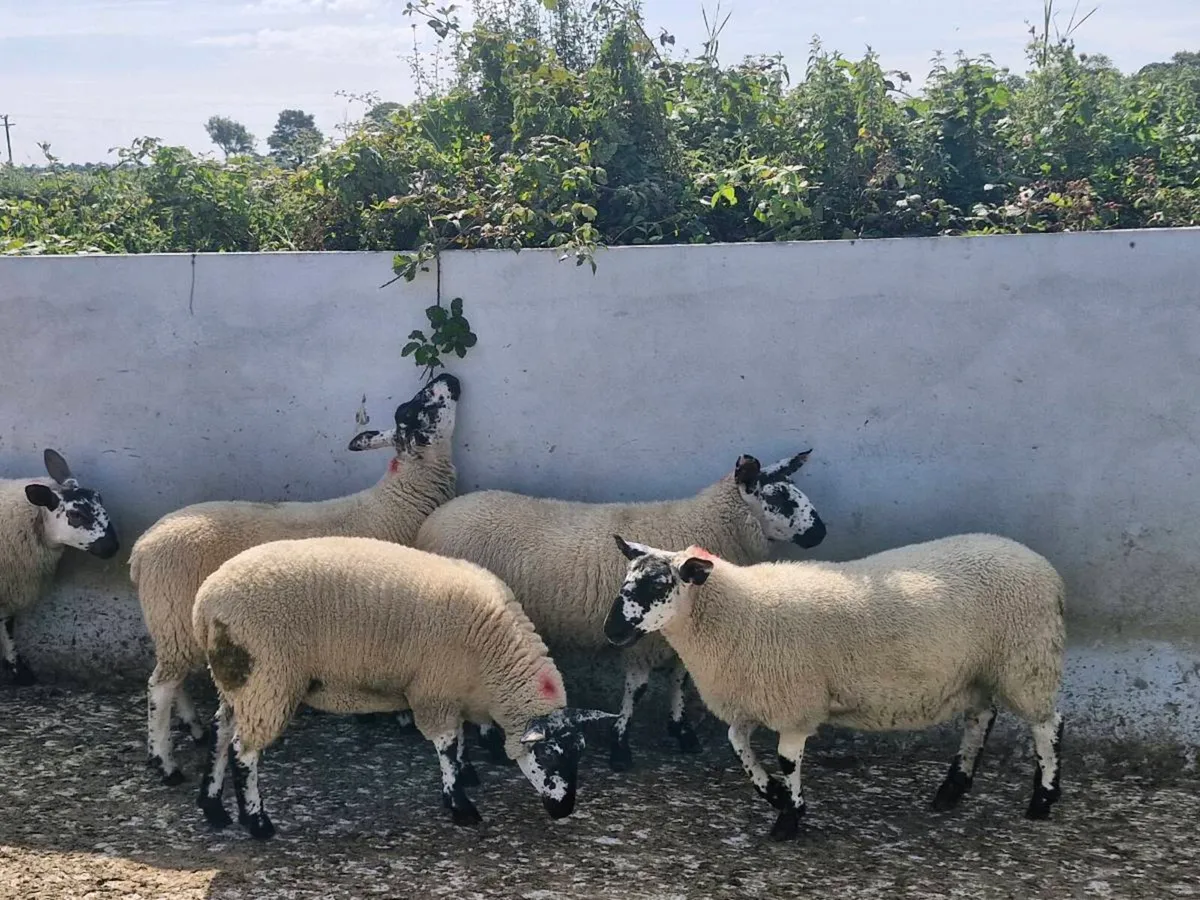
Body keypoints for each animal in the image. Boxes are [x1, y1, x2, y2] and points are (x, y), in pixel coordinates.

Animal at [1, 449, 120, 685]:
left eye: (100, 500)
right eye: (75, 514)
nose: (113, 546)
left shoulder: (10, 586)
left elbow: (8, 625)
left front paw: (19, 672)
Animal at [129, 373, 461, 786]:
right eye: (426, 406)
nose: (449, 378)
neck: (401, 501)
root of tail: (141, 550)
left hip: (176, 622)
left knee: (173, 680)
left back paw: (195, 728)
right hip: (173, 612)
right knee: (159, 687)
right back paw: (164, 762)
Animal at [191, 535, 616, 839]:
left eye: (579, 753)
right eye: (547, 756)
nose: (564, 810)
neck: (495, 661)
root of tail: (204, 603)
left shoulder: (451, 690)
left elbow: (459, 739)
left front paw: (466, 773)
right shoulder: (433, 691)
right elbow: (446, 746)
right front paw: (460, 805)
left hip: (237, 681)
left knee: (220, 731)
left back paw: (213, 808)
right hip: (267, 677)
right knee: (244, 752)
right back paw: (257, 822)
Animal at [415, 450, 826, 772]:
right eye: (782, 499)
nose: (820, 532)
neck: (708, 526)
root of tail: (433, 521)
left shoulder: (675, 631)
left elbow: (679, 679)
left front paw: (682, 731)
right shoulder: (640, 636)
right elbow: (637, 689)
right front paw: (621, 746)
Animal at [605, 533, 1066, 840]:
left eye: (659, 585)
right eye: (625, 582)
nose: (612, 632)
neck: (737, 612)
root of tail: (1041, 564)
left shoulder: (795, 703)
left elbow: (786, 759)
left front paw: (789, 818)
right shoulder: (753, 698)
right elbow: (738, 746)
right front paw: (774, 794)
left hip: (1027, 661)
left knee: (1048, 726)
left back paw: (1042, 800)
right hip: (978, 670)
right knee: (980, 717)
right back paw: (951, 790)